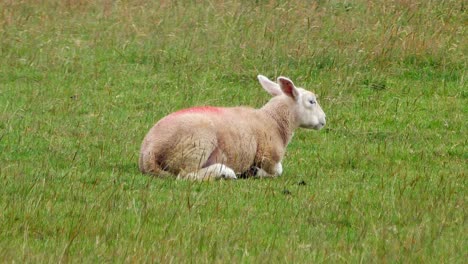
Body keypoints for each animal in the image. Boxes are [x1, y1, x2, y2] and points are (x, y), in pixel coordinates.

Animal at [139, 75, 328, 180]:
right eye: (312, 101)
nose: (324, 119)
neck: (273, 120)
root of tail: (148, 152)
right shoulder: (268, 157)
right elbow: (278, 171)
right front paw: (255, 172)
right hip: (196, 144)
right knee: (185, 175)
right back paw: (224, 172)